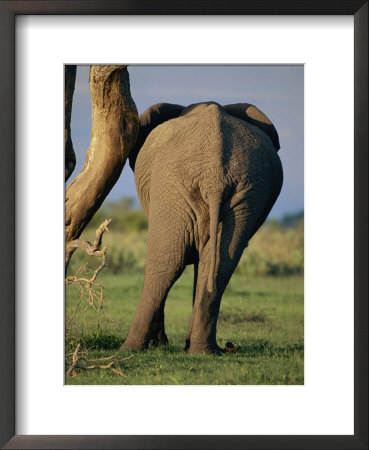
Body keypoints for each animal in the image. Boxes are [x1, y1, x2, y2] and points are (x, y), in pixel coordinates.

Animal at [121, 100, 282, 354]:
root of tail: (215, 177)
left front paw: (159, 345)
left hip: (173, 186)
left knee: (166, 262)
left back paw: (131, 348)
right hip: (248, 193)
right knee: (219, 265)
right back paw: (203, 351)